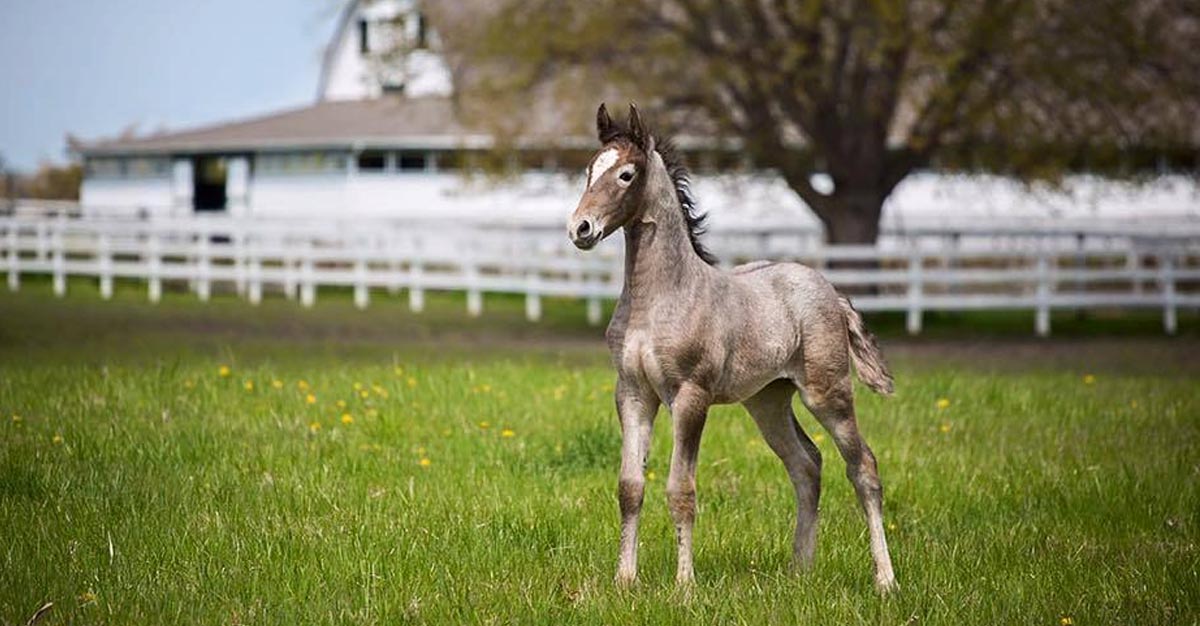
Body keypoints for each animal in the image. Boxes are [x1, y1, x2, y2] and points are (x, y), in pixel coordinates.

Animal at [566, 102, 897, 590]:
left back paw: (885, 580)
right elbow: (630, 487)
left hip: (828, 394)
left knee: (863, 468)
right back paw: (799, 572)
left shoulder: (690, 397)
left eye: (626, 174)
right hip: (767, 401)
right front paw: (625, 581)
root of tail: (831, 291)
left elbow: (681, 490)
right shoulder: (632, 393)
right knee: (807, 464)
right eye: (589, 171)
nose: (580, 229)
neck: (659, 298)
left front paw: (684, 586)